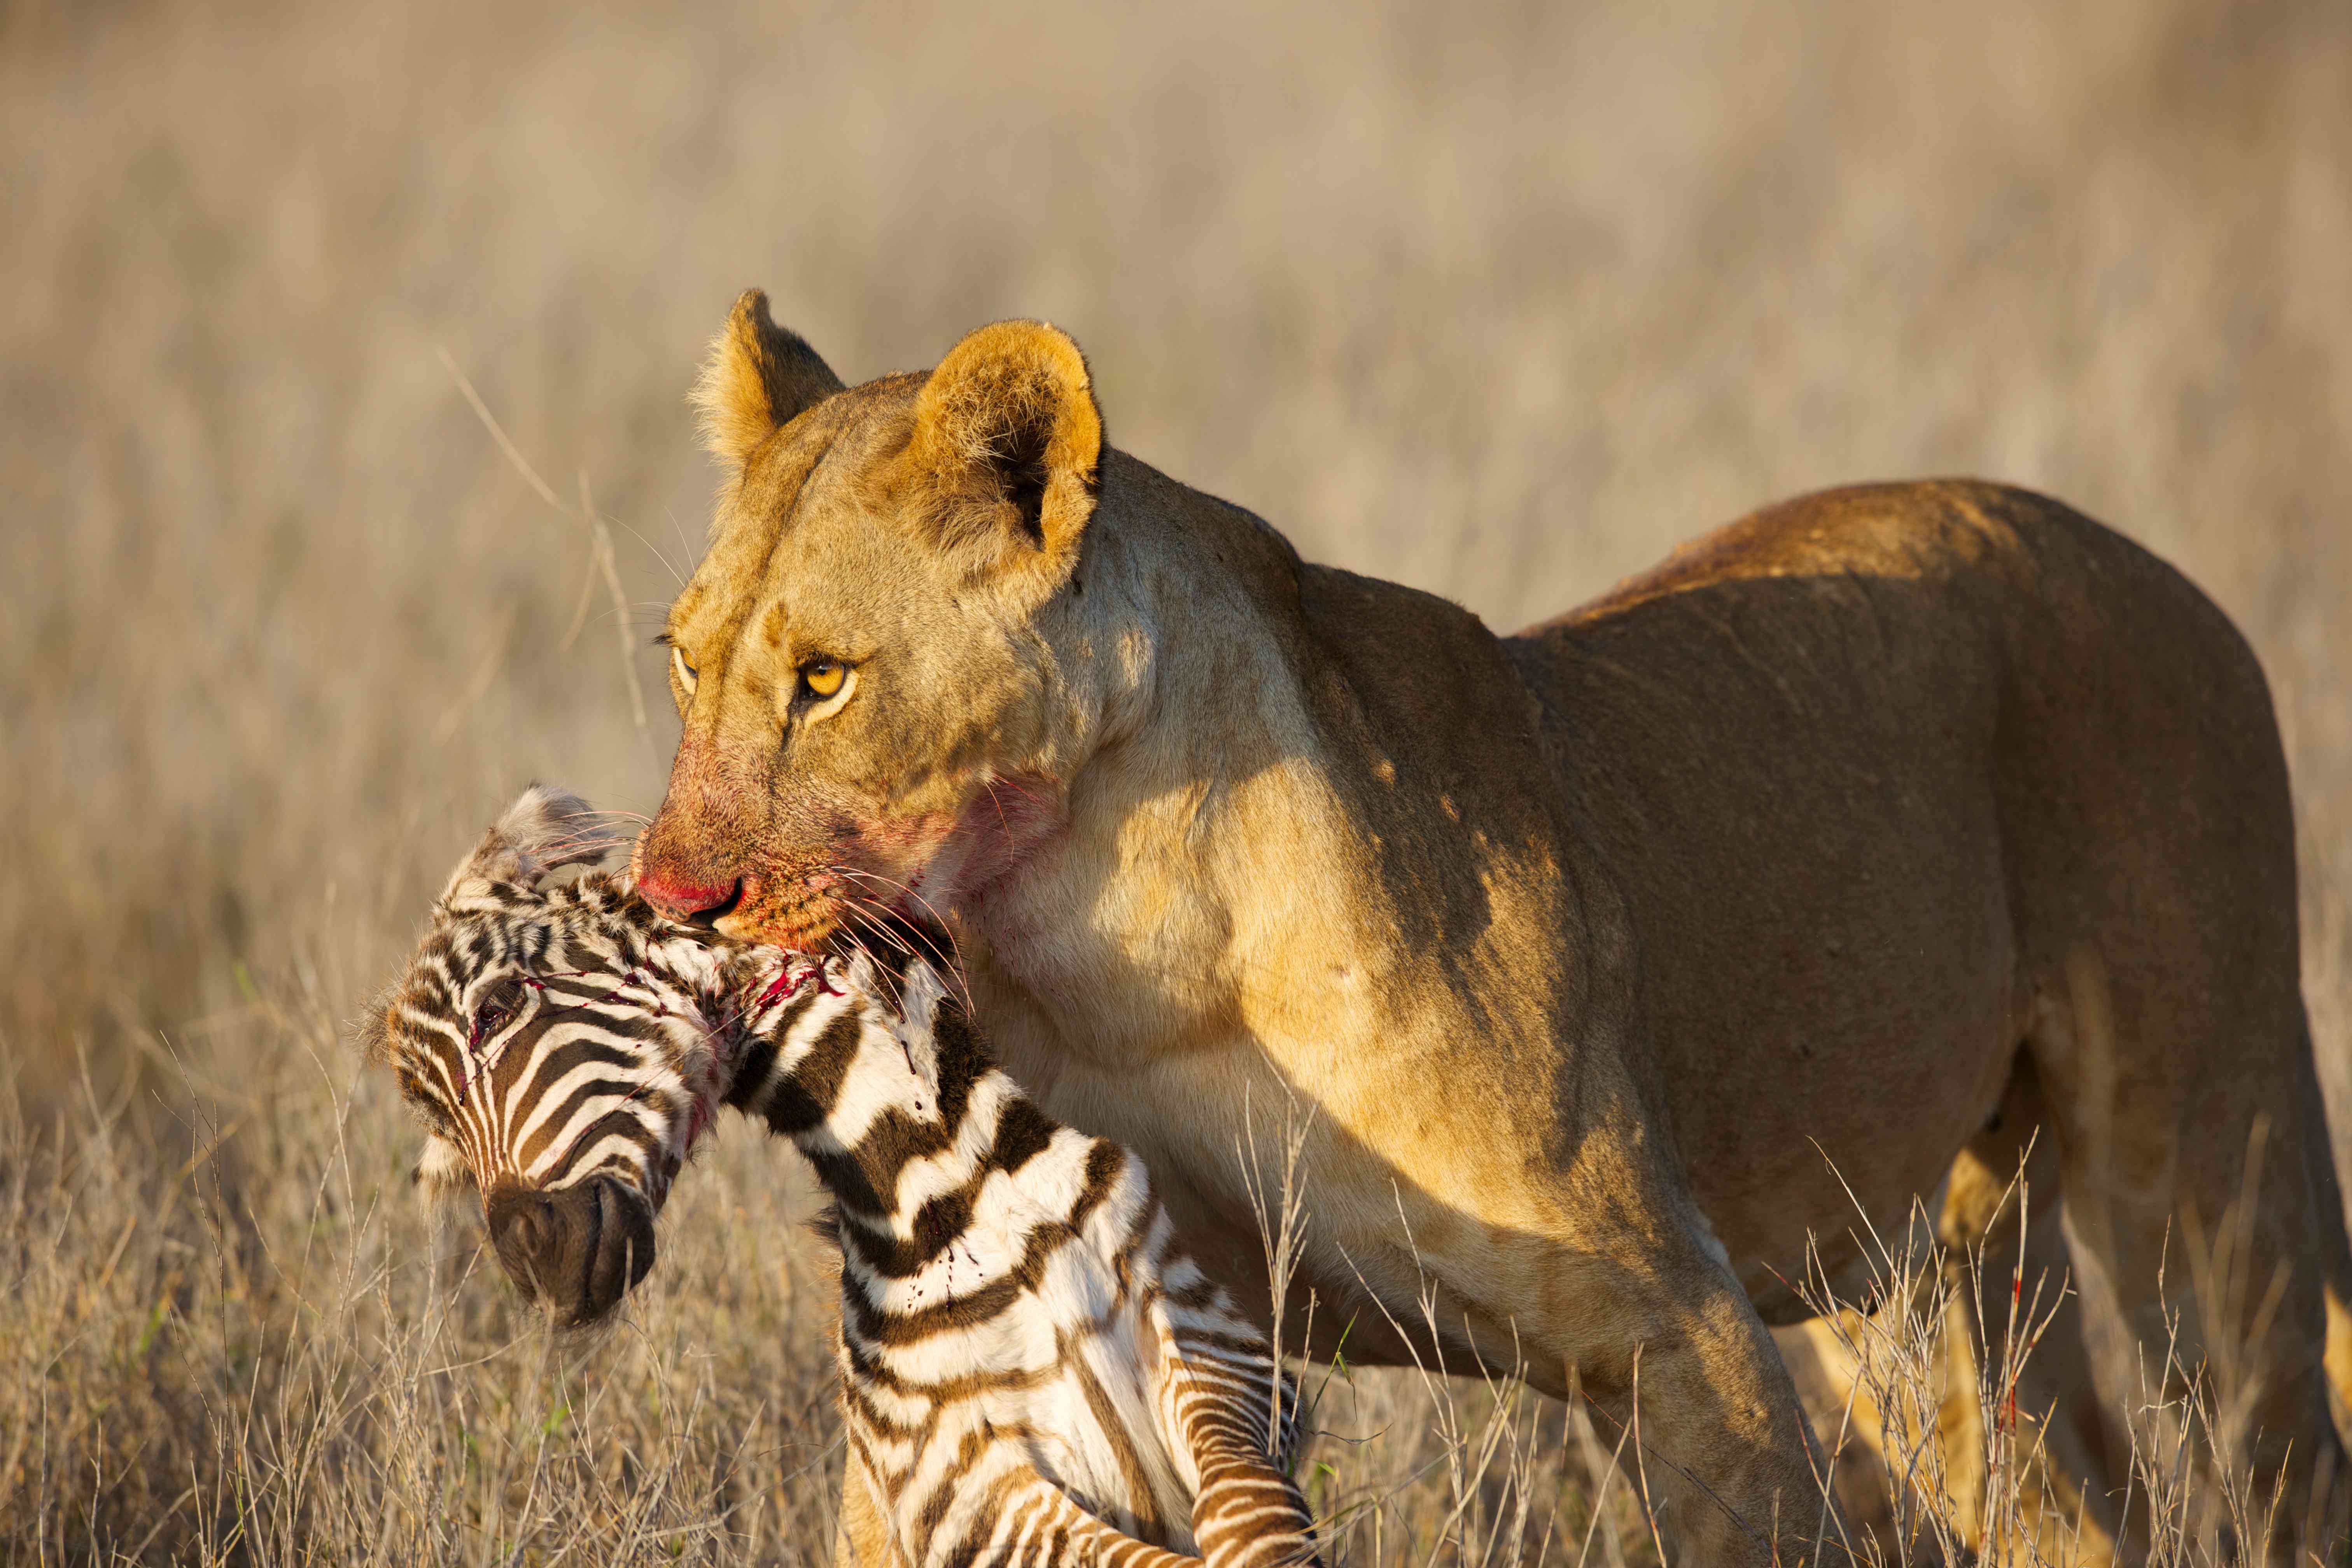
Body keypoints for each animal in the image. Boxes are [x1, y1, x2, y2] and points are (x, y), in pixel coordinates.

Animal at [367, 790, 1326, 1568]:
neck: (947, 1195)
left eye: (497, 1009)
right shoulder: (960, 1491)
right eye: (441, 1131)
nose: (541, 1266)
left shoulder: (1225, 1353)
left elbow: (1252, 1525)